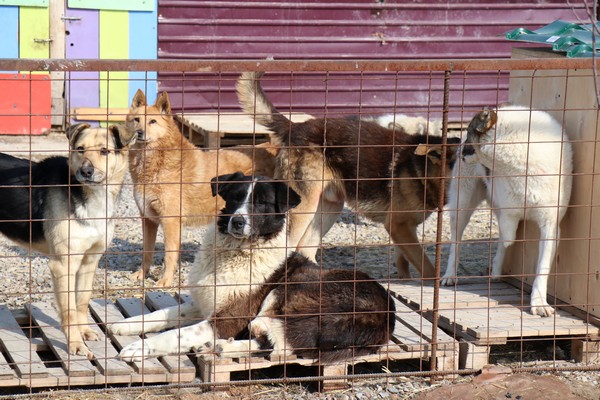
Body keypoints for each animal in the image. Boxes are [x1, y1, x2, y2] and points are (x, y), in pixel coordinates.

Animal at [0, 123, 136, 358]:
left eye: (104, 151)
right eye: (80, 149)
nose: (86, 172)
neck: (92, 197)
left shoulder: (89, 261)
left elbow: (81, 301)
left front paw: (84, 332)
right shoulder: (63, 265)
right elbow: (69, 309)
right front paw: (75, 344)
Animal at [111, 172, 394, 362]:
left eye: (261, 203)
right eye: (235, 198)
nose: (237, 221)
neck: (236, 252)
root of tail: (384, 315)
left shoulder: (227, 319)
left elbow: (176, 334)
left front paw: (139, 348)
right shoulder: (203, 305)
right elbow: (161, 314)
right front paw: (126, 325)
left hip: (284, 293)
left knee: (275, 344)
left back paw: (221, 346)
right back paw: (218, 347)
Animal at [127, 89, 278, 288]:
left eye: (152, 121)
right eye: (137, 119)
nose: (139, 132)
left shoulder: (171, 222)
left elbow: (169, 255)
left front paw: (165, 280)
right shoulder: (148, 220)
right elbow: (146, 252)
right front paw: (141, 274)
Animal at [237, 71, 462, 278]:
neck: (422, 170)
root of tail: (295, 127)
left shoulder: (404, 231)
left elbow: (404, 266)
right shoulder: (399, 226)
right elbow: (429, 269)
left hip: (328, 208)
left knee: (305, 249)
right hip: (302, 209)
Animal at [440, 104, 572, 318]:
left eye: (470, 133)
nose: (459, 151)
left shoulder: (550, 227)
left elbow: (541, 267)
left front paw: (539, 302)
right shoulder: (509, 212)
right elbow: (508, 236)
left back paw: (495, 272)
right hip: (462, 206)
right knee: (456, 243)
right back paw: (450, 275)